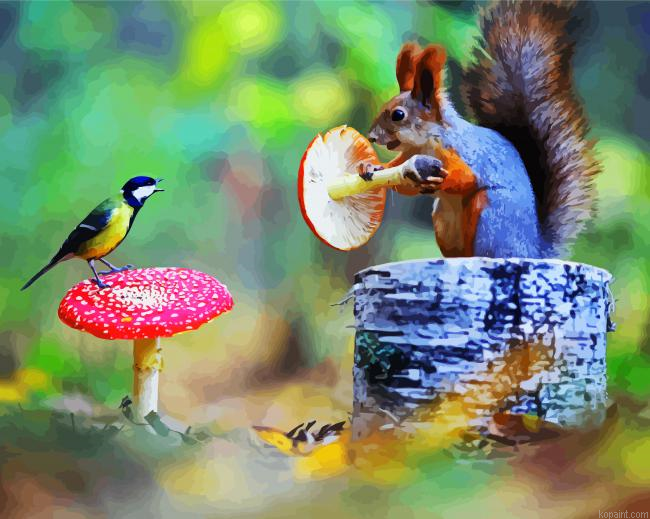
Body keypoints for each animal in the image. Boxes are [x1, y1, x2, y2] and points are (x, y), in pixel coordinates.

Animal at [360, 0, 600, 259]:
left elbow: (467, 178)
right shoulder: (409, 156)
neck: (426, 142)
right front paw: (372, 167)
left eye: (398, 115)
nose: (371, 137)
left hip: (489, 216)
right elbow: (399, 177)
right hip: (444, 221)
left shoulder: (462, 153)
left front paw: (440, 181)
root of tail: (531, 251)